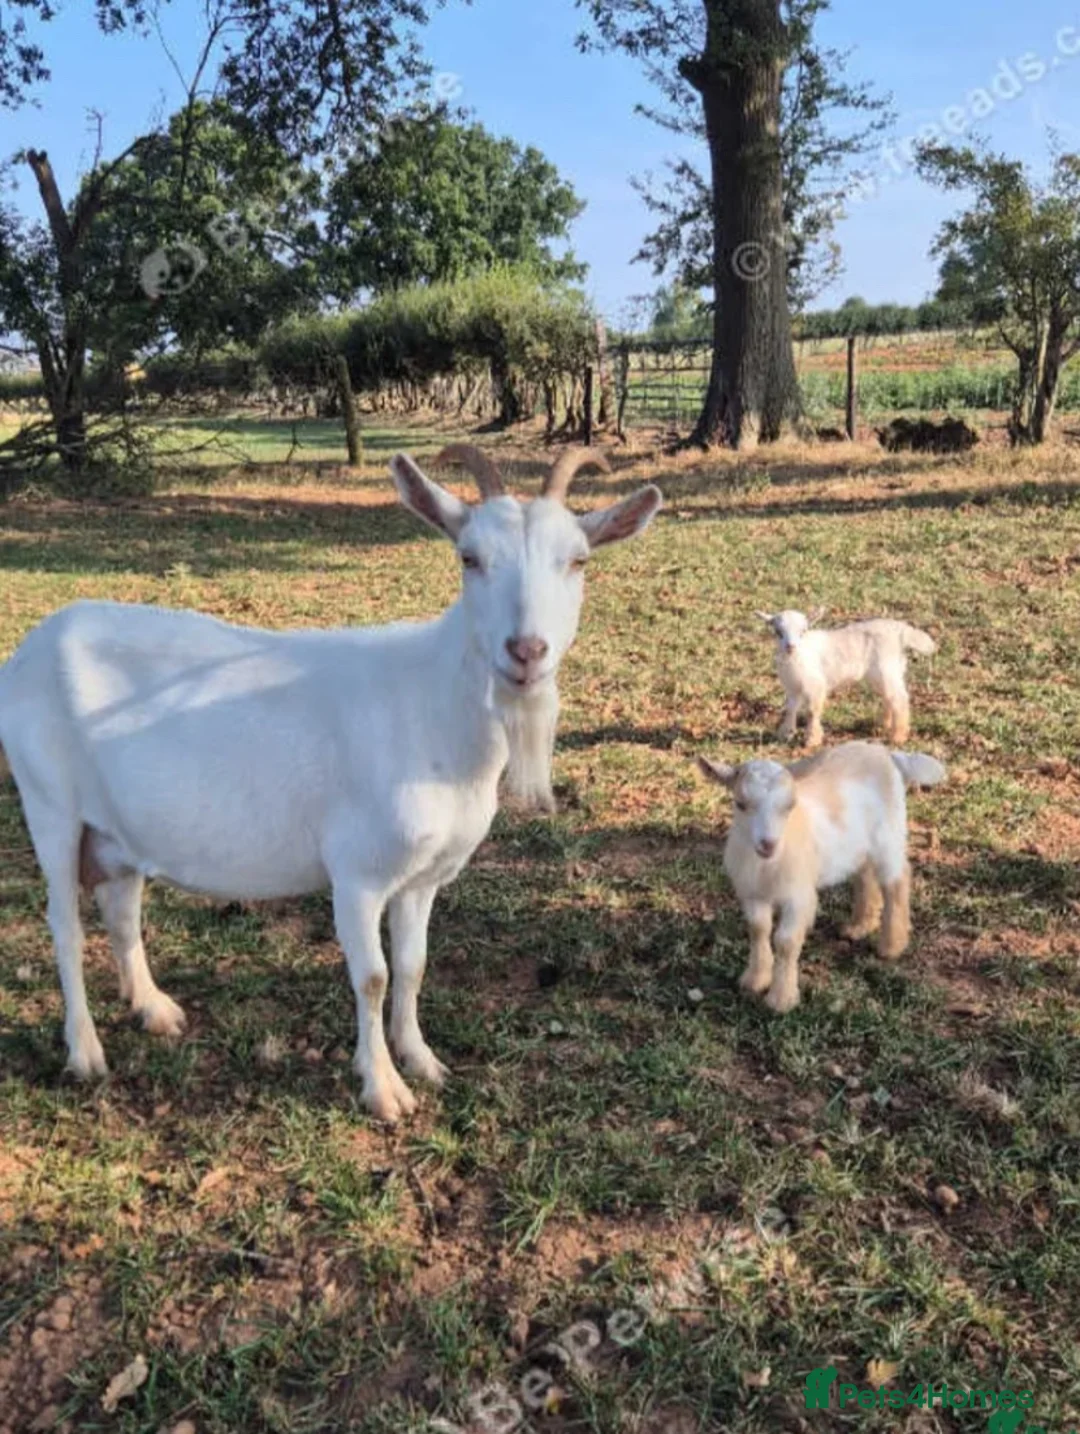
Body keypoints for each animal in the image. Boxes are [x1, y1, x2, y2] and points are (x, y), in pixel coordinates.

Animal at [0, 447, 662, 1121]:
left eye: (578, 560)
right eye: (468, 558)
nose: (526, 651)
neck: (431, 706)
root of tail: (33, 646)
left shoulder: (424, 876)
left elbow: (414, 965)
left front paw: (422, 1060)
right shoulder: (357, 873)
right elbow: (372, 976)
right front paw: (384, 1088)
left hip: (116, 825)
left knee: (121, 903)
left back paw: (154, 1009)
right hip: (49, 803)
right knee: (63, 923)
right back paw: (85, 1052)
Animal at [698, 742, 947, 1013]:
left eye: (789, 806)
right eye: (740, 803)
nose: (768, 844)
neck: (767, 864)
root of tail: (887, 753)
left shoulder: (798, 896)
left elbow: (785, 941)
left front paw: (781, 999)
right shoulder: (753, 893)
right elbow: (758, 930)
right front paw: (755, 980)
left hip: (889, 835)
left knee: (896, 881)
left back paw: (891, 946)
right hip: (858, 845)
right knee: (865, 876)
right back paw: (858, 927)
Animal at [756, 609, 937, 749]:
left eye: (803, 631)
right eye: (778, 632)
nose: (790, 647)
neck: (798, 656)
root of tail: (900, 631)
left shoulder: (816, 684)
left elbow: (812, 711)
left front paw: (812, 740)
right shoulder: (792, 687)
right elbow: (790, 709)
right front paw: (785, 733)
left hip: (886, 667)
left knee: (899, 698)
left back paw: (898, 736)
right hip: (886, 671)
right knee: (890, 696)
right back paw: (883, 725)